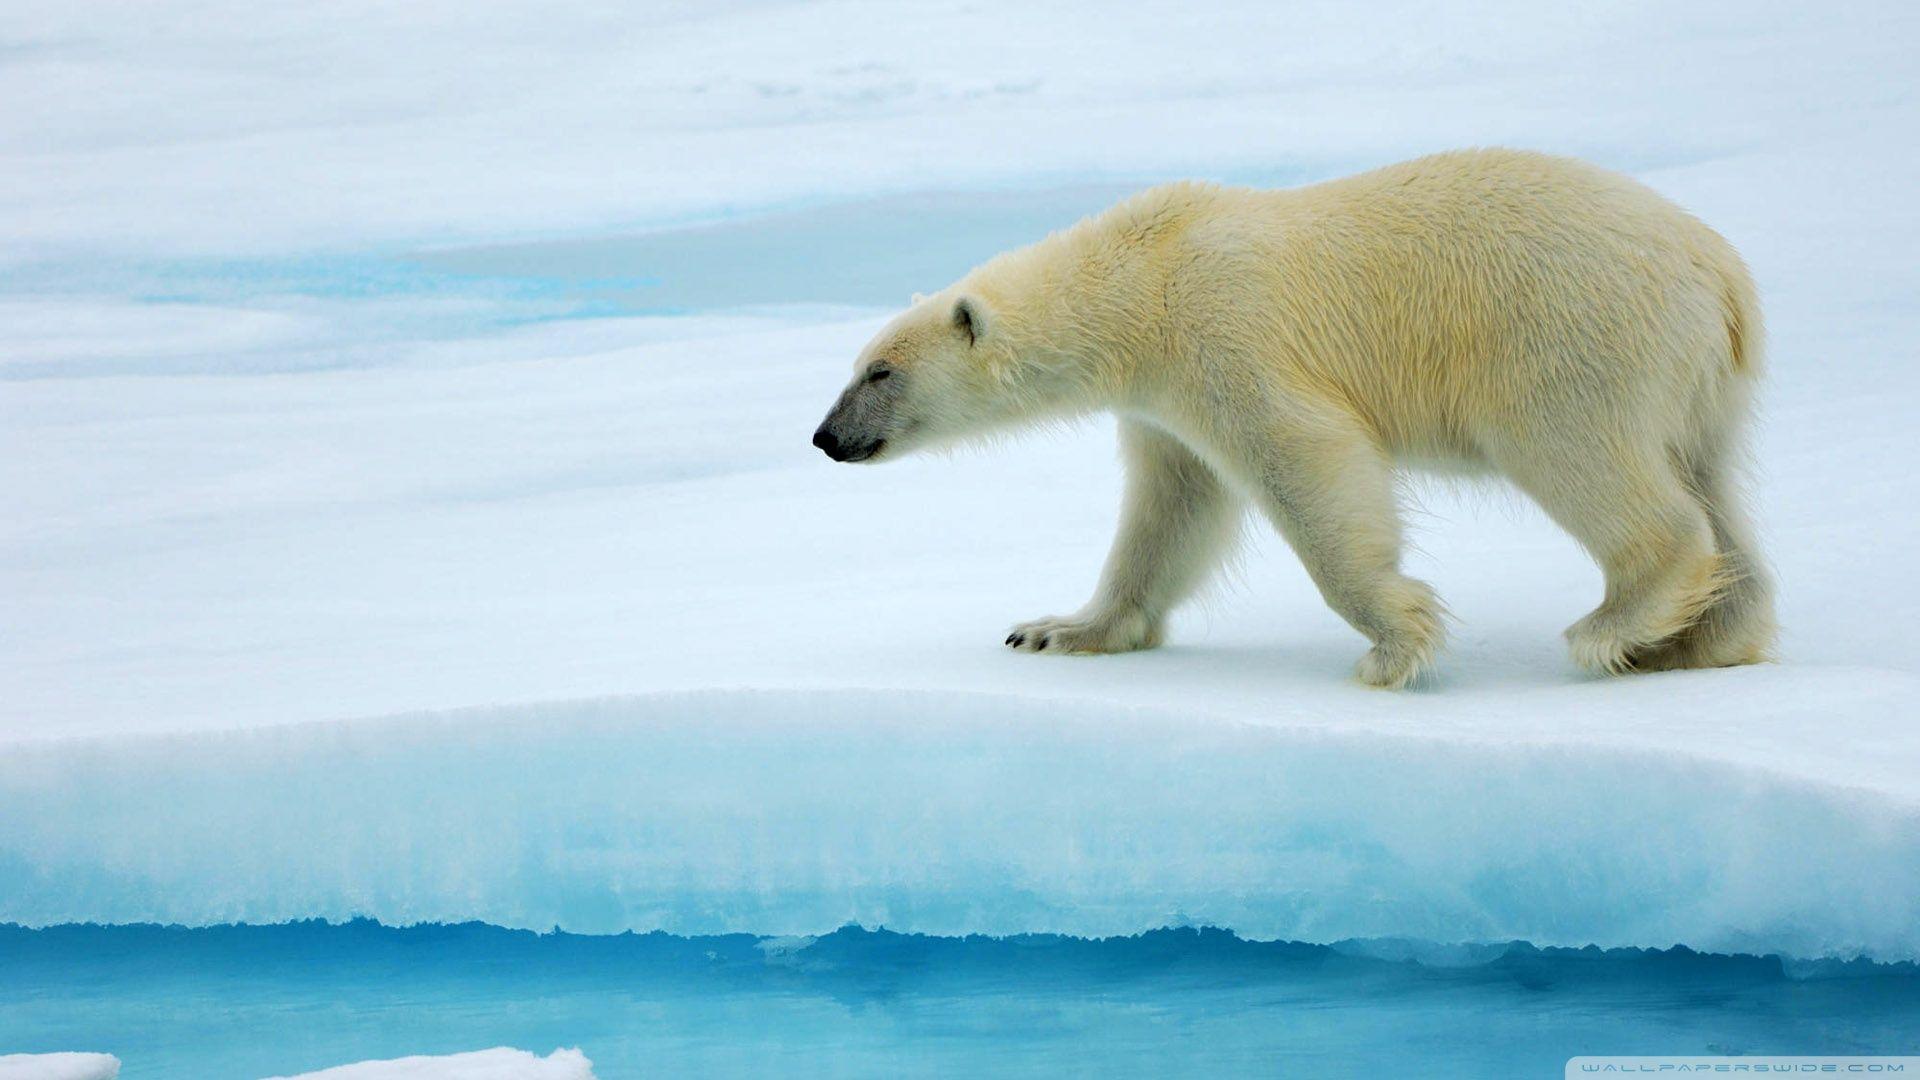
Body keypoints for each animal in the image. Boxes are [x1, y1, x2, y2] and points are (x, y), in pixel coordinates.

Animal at [812, 148, 1775, 688]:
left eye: (881, 371)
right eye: (855, 366)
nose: (825, 438)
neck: (1141, 278)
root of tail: (1722, 275)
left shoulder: (1225, 334)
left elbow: (1305, 462)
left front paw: (1395, 642)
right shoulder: (1162, 402)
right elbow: (1170, 509)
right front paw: (1056, 630)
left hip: (1568, 339)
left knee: (1590, 464)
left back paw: (1615, 626)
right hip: (1697, 383)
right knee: (1712, 483)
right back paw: (1702, 639)